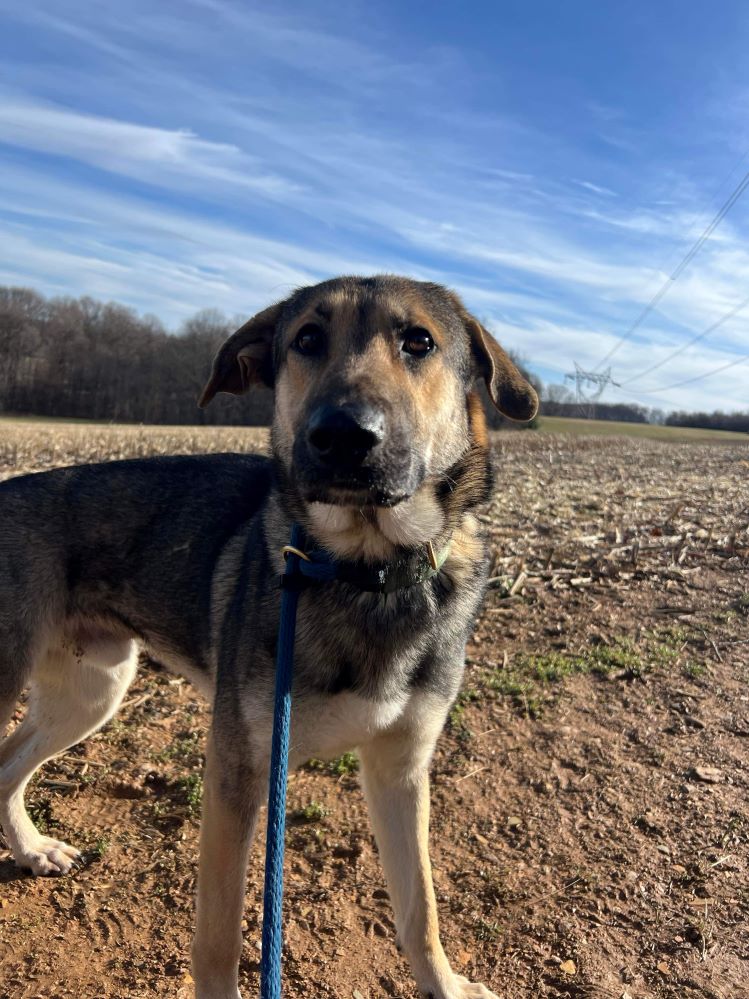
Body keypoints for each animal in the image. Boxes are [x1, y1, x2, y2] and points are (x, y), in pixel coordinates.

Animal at [0, 276, 536, 999]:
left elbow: (420, 906)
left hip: (92, 689)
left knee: (8, 763)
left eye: (418, 341)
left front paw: (444, 984)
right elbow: (219, 937)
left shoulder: (400, 769)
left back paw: (32, 849)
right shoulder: (239, 773)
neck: (365, 569)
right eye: (307, 338)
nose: (342, 435)